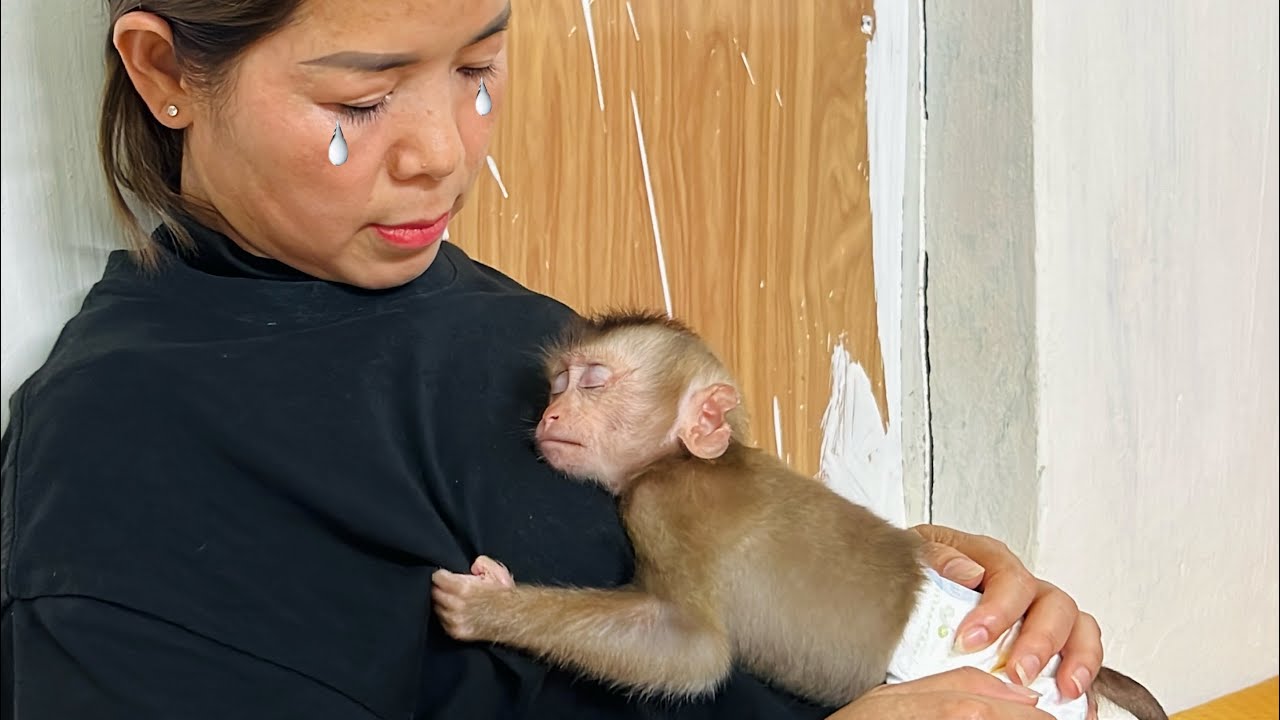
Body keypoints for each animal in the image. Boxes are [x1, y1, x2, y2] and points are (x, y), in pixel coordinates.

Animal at [431, 309, 1168, 720]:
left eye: (593, 383)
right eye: (558, 385)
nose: (552, 415)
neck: (688, 459)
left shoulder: (664, 505)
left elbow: (692, 650)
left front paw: (489, 608)